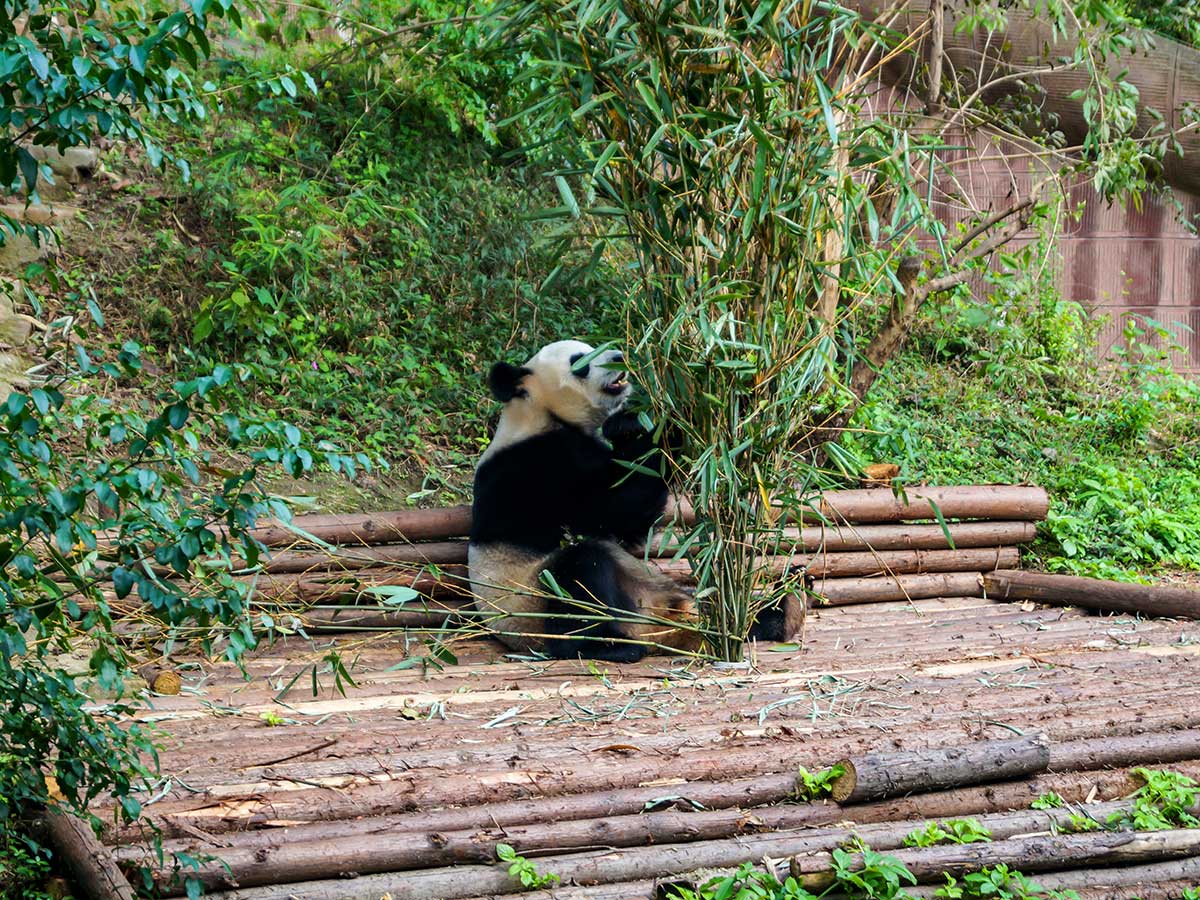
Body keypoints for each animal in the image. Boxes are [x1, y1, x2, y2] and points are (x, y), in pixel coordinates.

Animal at [468, 338, 796, 662]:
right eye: (579, 362)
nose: (618, 356)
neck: (537, 413)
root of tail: (657, 628)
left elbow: (632, 526)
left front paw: (631, 423)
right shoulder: (535, 465)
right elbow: (612, 508)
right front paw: (677, 416)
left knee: (713, 606)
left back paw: (782, 607)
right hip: (533, 598)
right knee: (580, 575)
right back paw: (611, 646)